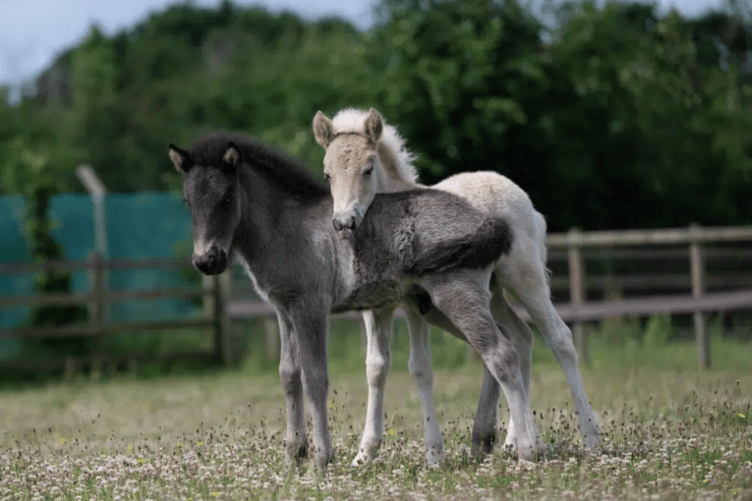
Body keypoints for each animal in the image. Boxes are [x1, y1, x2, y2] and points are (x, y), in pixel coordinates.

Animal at [168, 130, 542, 469]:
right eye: (188, 202)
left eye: (226, 199)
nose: (206, 261)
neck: (288, 228)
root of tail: (486, 220)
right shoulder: (283, 310)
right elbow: (289, 376)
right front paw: (293, 456)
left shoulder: (310, 308)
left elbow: (315, 377)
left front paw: (321, 459)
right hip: (441, 308)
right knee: (505, 344)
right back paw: (487, 440)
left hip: (458, 296)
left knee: (502, 354)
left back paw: (526, 450)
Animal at [312, 107, 601, 462]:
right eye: (327, 174)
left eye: (367, 170)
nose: (344, 223)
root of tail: (517, 193)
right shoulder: (380, 307)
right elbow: (376, 368)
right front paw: (365, 453)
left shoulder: (413, 304)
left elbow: (419, 368)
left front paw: (433, 454)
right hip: (491, 294)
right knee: (520, 336)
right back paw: (511, 439)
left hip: (523, 277)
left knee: (559, 338)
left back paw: (589, 436)